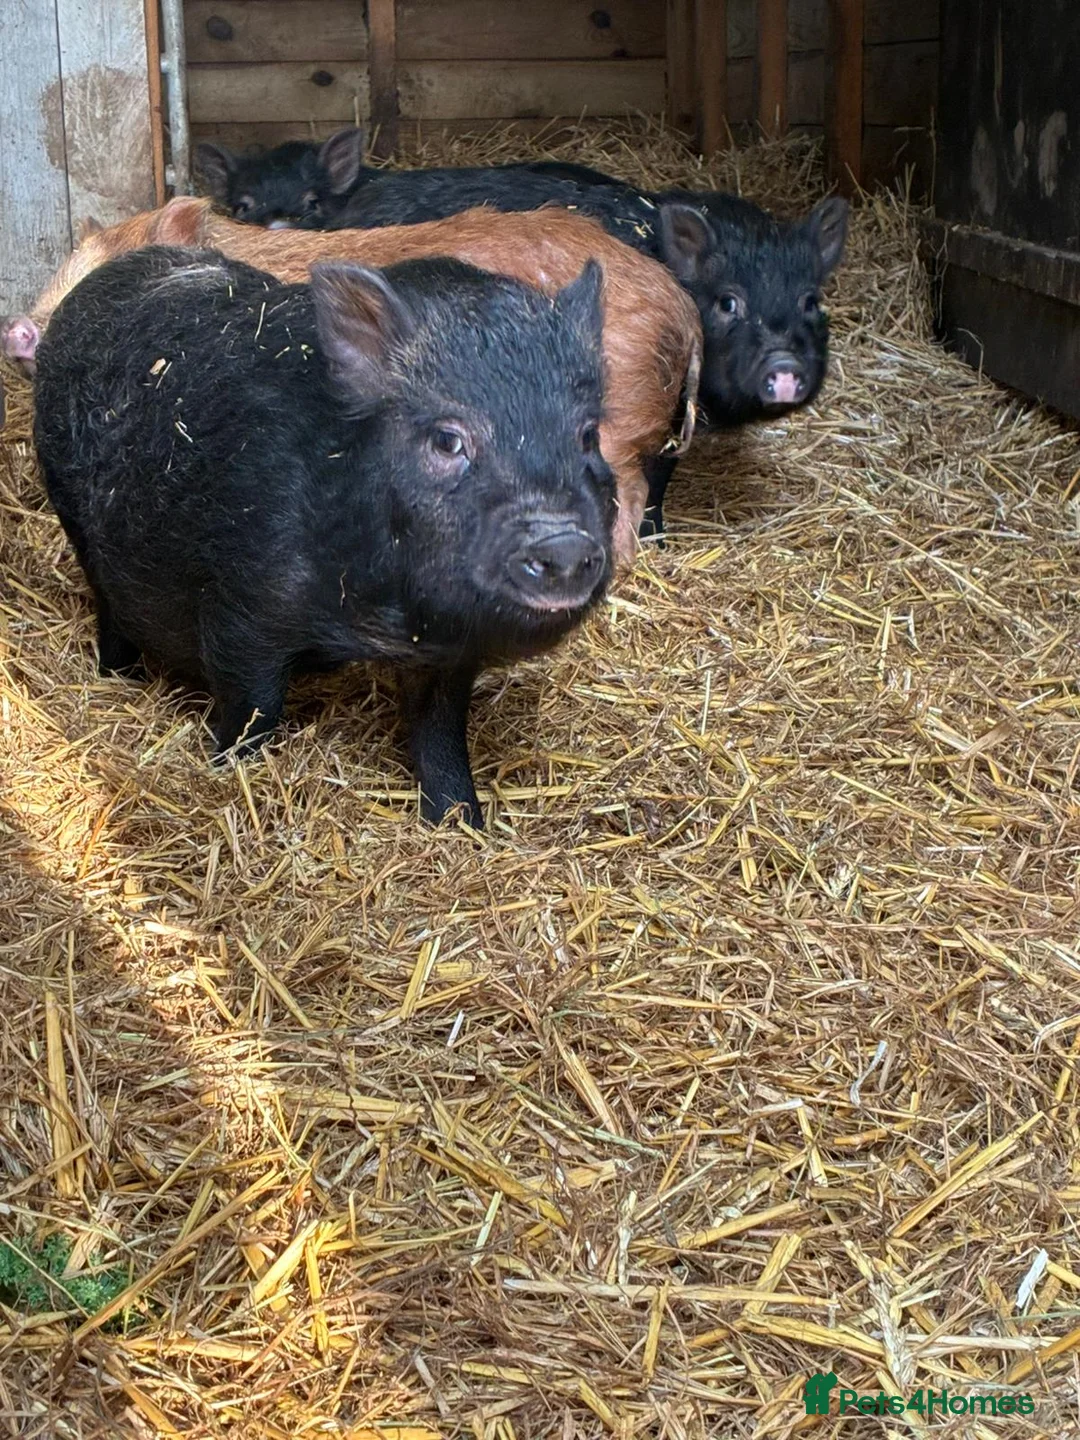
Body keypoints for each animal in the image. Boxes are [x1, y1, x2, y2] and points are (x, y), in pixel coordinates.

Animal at [33, 245, 616, 827]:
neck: (378, 619)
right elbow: (252, 708)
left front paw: (461, 823)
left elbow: (441, 731)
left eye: (588, 435)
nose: (565, 545)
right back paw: (118, 677)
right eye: (448, 440)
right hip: (72, 513)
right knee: (110, 608)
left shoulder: (447, 653)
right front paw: (229, 772)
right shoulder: (242, 606)